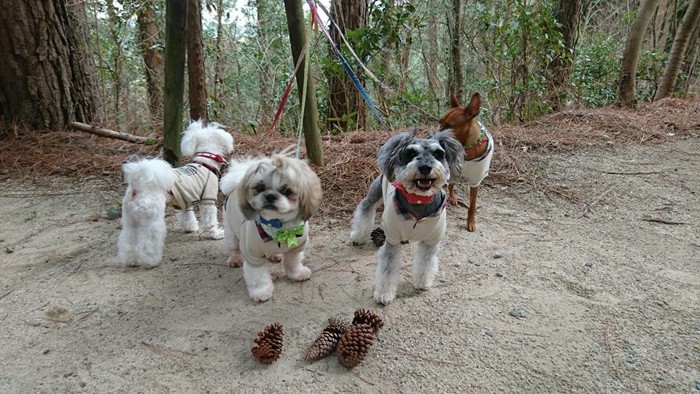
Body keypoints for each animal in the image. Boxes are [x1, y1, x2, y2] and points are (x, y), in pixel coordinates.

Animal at [116, 120, 234, 268]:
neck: (205, 163)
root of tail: (138, 185)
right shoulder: (208, 200)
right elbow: (210, 219)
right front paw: (216, 233)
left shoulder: (184, 202)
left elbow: (187, 216)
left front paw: (191, 228)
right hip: (152, 220)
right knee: (149, 242)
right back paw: (151, 261)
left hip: (130, 220)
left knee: (128, 241)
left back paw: (132, 260)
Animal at [220, 154, 324, 302]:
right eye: (259, 188)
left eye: (286, 191)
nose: (270, 195)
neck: (279, 227)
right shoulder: (253, 256)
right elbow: (258, 276)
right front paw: (261, 291)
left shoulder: (296, 248)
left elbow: (293, 262)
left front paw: (297, 274)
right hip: (230, 232)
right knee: (233, 248)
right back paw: (235, 259)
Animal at [350, 127, 464, 304]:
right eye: (410, 153)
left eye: (438, 153)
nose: (425, 167)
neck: (418, 200)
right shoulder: (392, 240)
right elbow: (388, 268)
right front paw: (384, 294)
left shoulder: (431, 242)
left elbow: (426, 262)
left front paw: (423, 281)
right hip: (374, 195)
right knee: (365, 209)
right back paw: (358, 236)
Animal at [440, 90, 494, 231]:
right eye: (439, 121)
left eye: (450, 126)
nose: (430, 137)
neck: (466, 149)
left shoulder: (476, 181)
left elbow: (473, 205)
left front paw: (471, 222)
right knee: (450, 184)